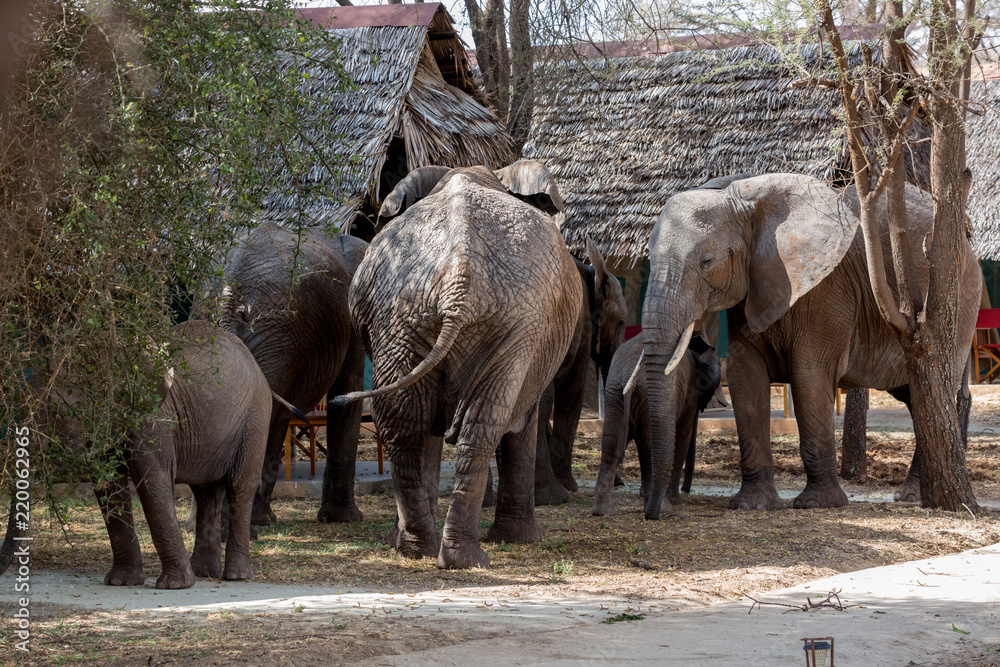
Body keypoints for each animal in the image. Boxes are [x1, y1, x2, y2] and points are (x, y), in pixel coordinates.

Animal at [2, 321, 274, 588]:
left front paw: (175, 585)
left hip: (256, 417)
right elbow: (110, 486)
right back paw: (205, 573)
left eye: (58, 413)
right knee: (206, 491)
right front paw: (121, 582)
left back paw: (236, 576)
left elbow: (153, 481)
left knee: (239, 485)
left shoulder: (153, 415)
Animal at [333, 163, 583, 569]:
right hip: (504, 323)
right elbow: (522, 420)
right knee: (477, 425)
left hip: (404, 320)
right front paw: (525, 540)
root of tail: (457, 281)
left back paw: (423, 550)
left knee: (405, 426)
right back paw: (458, 556)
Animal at [534, 238, 627, 506]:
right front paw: (570, 486)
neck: (592, 270)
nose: (619, 482)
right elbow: (573, 392)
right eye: (621, 323)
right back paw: (552, 497)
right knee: (544, 399)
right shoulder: (582, 325)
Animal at [591, 333, 721, 516]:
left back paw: (602, 511)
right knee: (650, 445)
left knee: (612, 442)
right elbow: (682, 435)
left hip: (614, 393)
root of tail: (627, 374)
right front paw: (676, 502)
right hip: (644, 397)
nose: (686, 489)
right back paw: (663, 507)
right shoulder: (690, 393)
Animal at [638, 173, 980, 518]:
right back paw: (914, 494)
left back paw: (912, 496)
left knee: (935, 387)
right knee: (914, 395)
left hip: (956, 302)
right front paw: (752, 505)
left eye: (706, 261)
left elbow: (809, 376)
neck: (741, 197)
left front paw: (818, 503)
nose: (657, 512)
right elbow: (744, 377)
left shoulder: (827, 288)